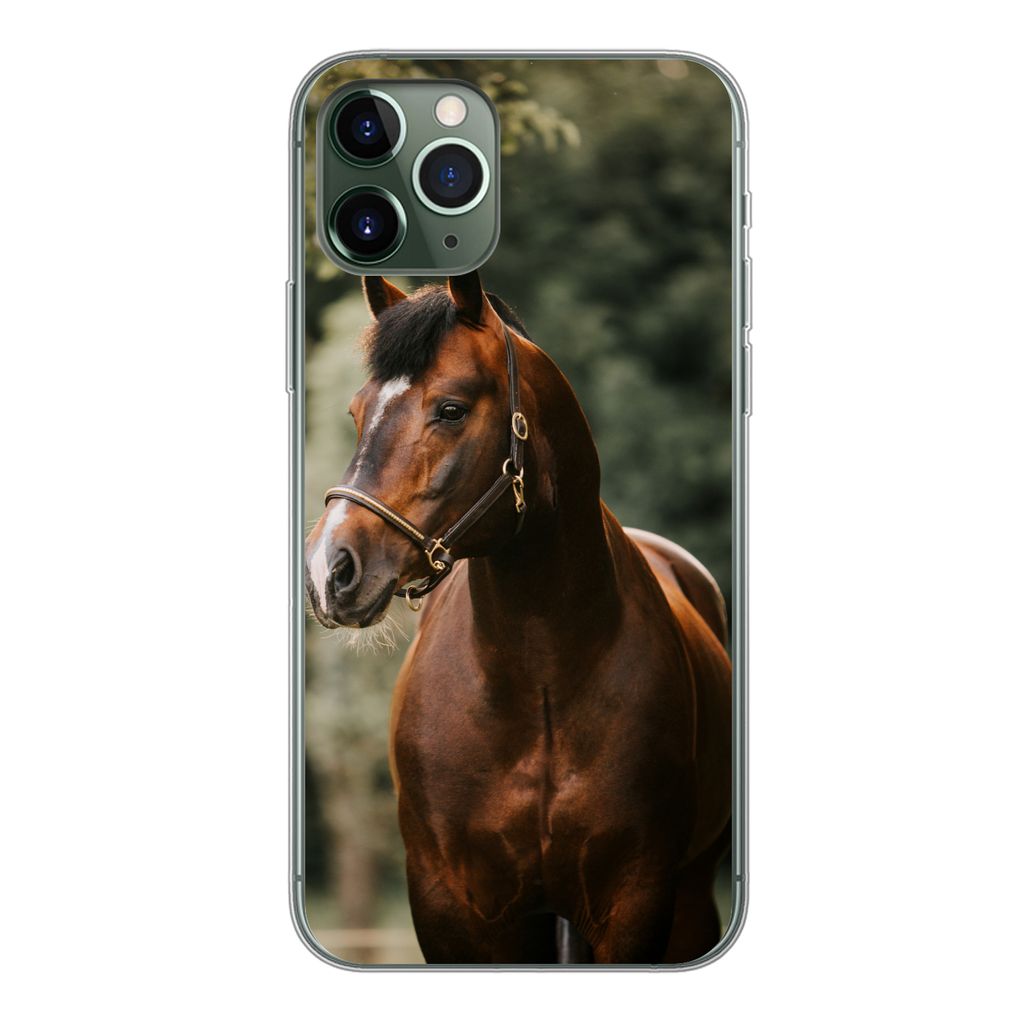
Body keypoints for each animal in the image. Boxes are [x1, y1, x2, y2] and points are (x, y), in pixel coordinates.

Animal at [304, 272, 732, 964]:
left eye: (451, 409)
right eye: (356, 412)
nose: (328, 569)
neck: (540, 681)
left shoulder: (637, 900)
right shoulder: (450, 908)